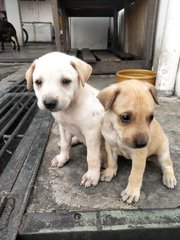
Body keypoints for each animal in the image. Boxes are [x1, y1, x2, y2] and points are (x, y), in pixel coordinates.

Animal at [25, 52, 104, 188]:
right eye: (38, 82)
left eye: (66, 81)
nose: (49, 103)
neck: (70, 108)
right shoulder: (64, 127)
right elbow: (65, 144)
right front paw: (62, 158)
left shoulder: (92, 132)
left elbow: (92, 157)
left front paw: (92, 175)